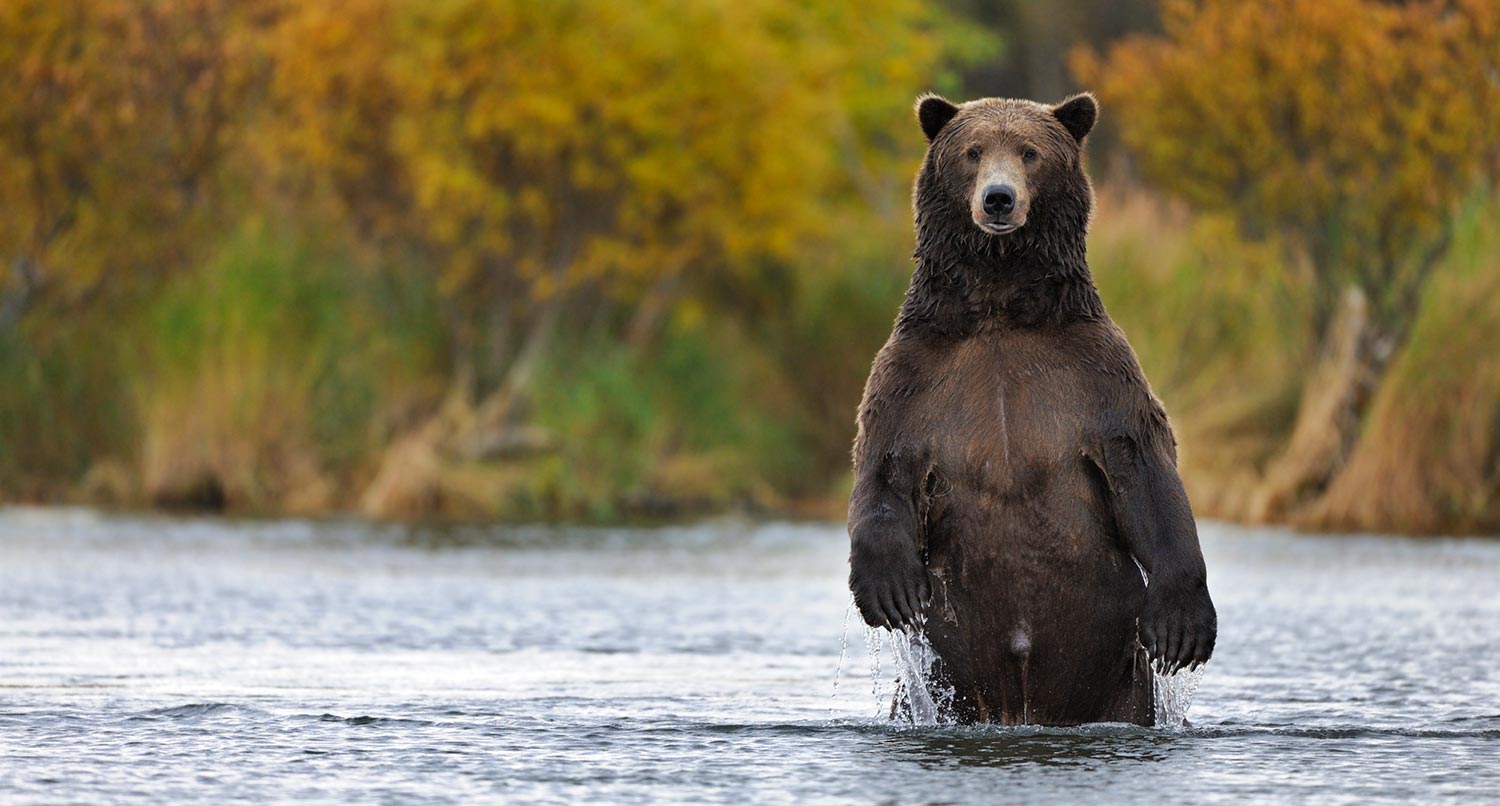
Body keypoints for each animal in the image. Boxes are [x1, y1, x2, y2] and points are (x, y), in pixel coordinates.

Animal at [846, 92, 1218, 723]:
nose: (998, 198)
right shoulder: (914, 375)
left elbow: (1144, 467)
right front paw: (889, 591)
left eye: (1029, 152)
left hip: (1119, 673)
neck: (999, 303)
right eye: (973, 151)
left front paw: (1182, 627)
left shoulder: (1096, 375)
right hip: (941, 673)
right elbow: (884, 466)